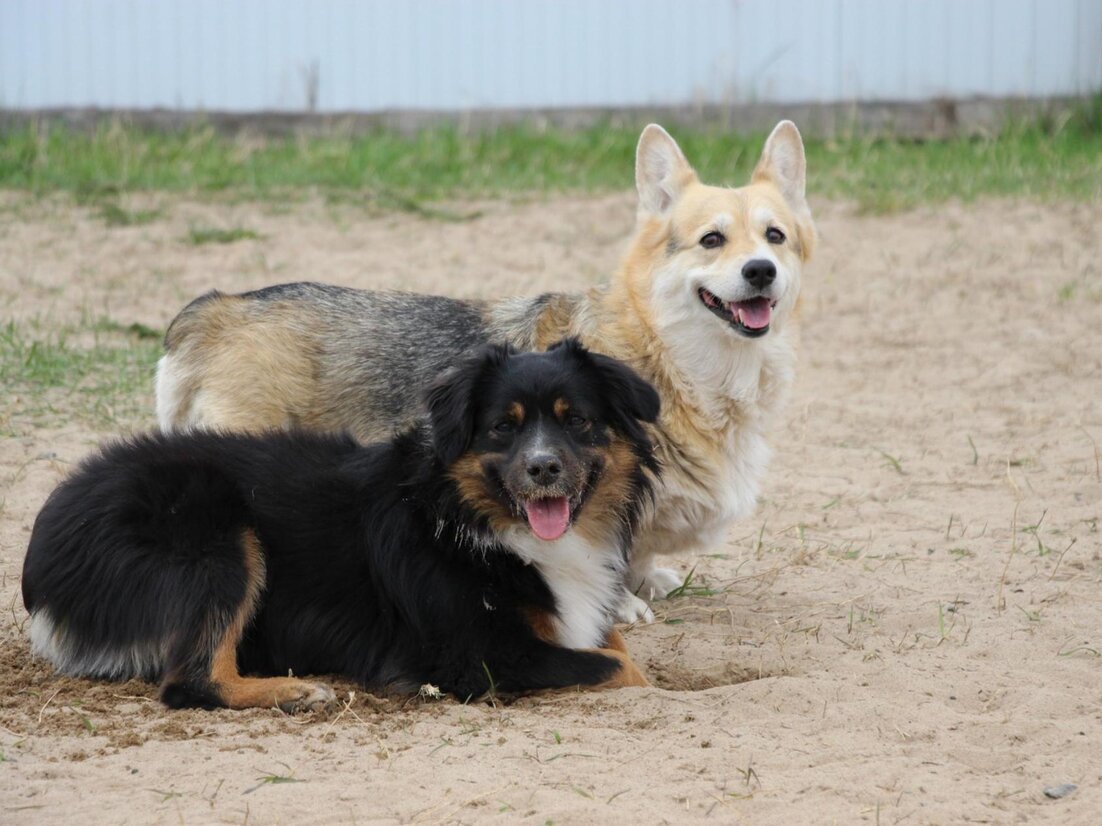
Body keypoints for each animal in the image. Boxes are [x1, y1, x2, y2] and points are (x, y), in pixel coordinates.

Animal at [22, 340, 659, 711]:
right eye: (504, 427)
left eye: (576, 421)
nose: (543, 468)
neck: (469, 515)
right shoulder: (476, 654)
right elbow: (623, 668)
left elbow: (615, 644)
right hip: (218, 541)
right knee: (191, 682)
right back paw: (296, 690)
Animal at [155, 121, 816, 621]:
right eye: (711, 240)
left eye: (775, 236)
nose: (760, 271)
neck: (674, 358)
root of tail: (218, 308)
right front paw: (624, 602)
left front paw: (650, 580)